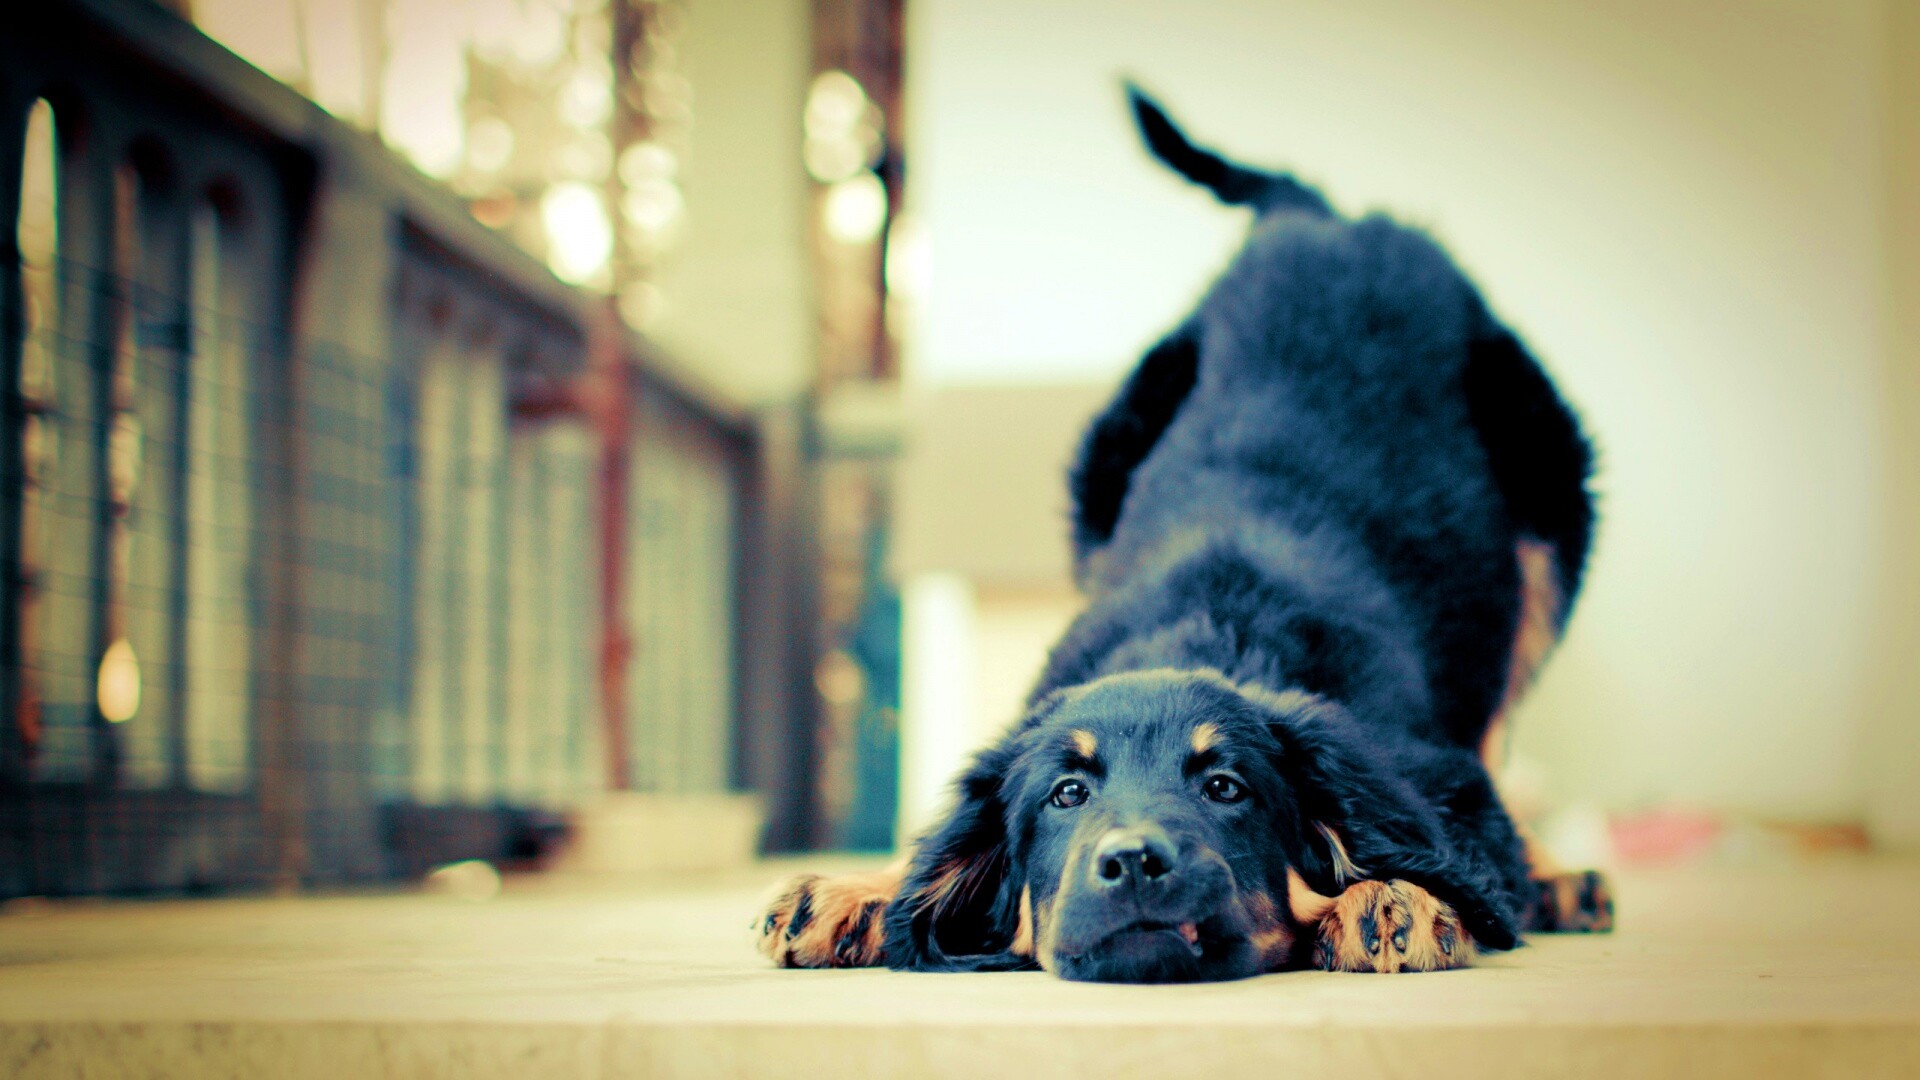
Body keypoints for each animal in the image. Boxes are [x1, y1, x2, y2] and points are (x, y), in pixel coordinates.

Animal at [757, 86, 1613, 982]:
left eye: (1225, 787)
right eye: (1068, 795)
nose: (1134, 861)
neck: (1212, 631)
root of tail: (1328, 222)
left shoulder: (1433, 768)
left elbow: (1453, 836)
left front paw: (1396, 893)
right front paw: (858, 890)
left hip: (1551, 510)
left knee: (1503, 721)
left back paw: (1558, 878)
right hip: (1108, 469)